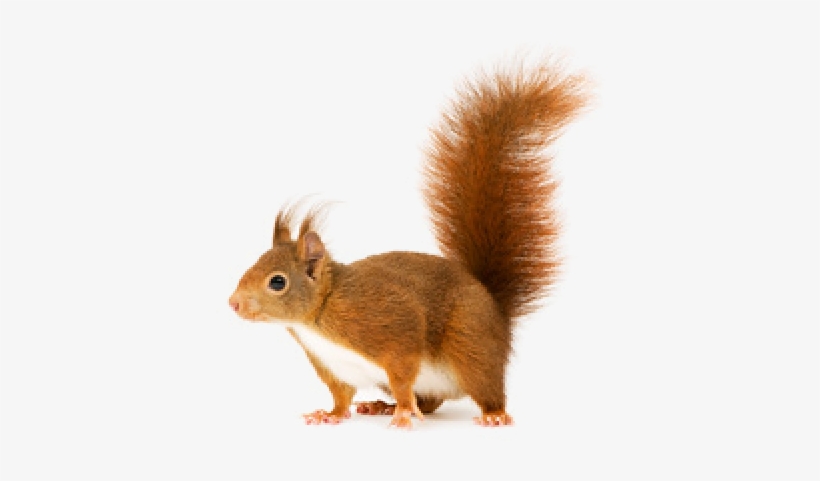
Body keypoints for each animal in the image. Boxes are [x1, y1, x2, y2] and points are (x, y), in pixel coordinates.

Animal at [229, 60, 588, 428]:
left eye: (277, 282)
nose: (233, 303)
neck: (319, 315)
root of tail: (496, 309)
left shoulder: (390, 326)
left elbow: (402, 373)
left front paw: (402, 411)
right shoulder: (332, 366)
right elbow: (342, 395)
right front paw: (331, 414)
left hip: (470, 345)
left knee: (484, 386)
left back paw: (492, 414)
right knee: (430, 401)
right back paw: (382, 406)